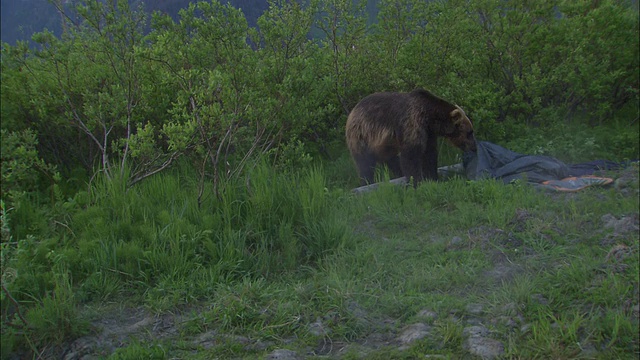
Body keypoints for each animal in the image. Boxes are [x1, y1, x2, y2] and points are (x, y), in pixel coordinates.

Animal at [344, 89, 476, 186]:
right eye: (470, 132)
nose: (474, 148)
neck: (430, 117)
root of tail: (352, 112)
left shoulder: (428, 133)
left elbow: (429, 154)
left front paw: (433, 177)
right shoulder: (412, 123)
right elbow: (411, 154)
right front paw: (417, 182)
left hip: (383, 145)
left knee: (392, 160)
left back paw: (399, 173)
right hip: (362, 135)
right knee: (365, 163)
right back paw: (366, 182)